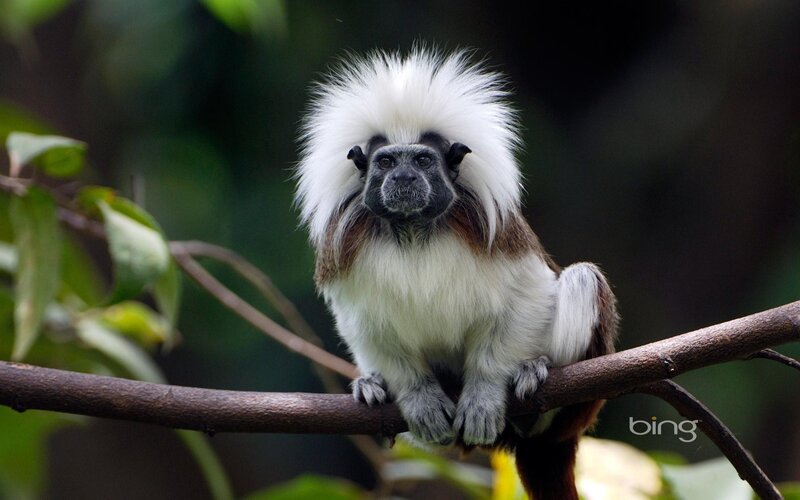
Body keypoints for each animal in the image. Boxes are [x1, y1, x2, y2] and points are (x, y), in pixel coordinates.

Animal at [295, 48, 618, 499]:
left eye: (423, 160)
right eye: (386, 162)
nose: (404, 177)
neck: (414, 230)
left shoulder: (496, 233)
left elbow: (529, 291)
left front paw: (485, 391)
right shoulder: (344, 251)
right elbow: (362, 322)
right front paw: (416, 396)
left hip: (578, 408)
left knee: (582, 278)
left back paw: (537, 386)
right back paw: (373, 385)